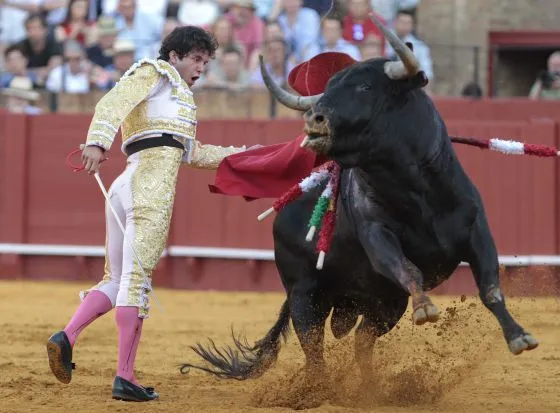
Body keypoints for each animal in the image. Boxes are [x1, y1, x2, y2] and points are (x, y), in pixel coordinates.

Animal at [179, 18, 540, 386]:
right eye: (329, 89)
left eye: (365, 87)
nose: (314, 119)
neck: (417, 192)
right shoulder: (376, 236)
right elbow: (407, 267)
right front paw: (425, 307)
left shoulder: (477, 231)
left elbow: (491, 288)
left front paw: (519, 337)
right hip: (305, 295)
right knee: (314, 349)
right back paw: (319, 389)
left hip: (385, 303)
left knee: (362, 340)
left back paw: (371, 387)